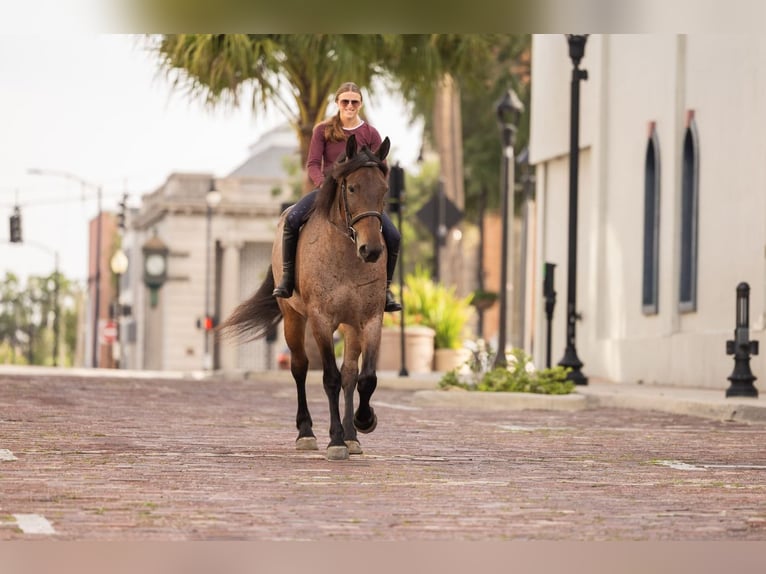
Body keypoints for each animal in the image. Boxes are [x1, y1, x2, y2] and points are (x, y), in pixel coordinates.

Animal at [219, 134, 391, 461]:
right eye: (352, 188)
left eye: (385, 189)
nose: (372, 249)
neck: (346, 254)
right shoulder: (321, 320)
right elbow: (329, 378)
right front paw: (335, 440)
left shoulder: (370, 320)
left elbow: (366, 377)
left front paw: (362, 422)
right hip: (292, 318)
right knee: (300, 367)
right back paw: (307, 432)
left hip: (350, 326)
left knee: (350, 373)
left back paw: (352, 436)